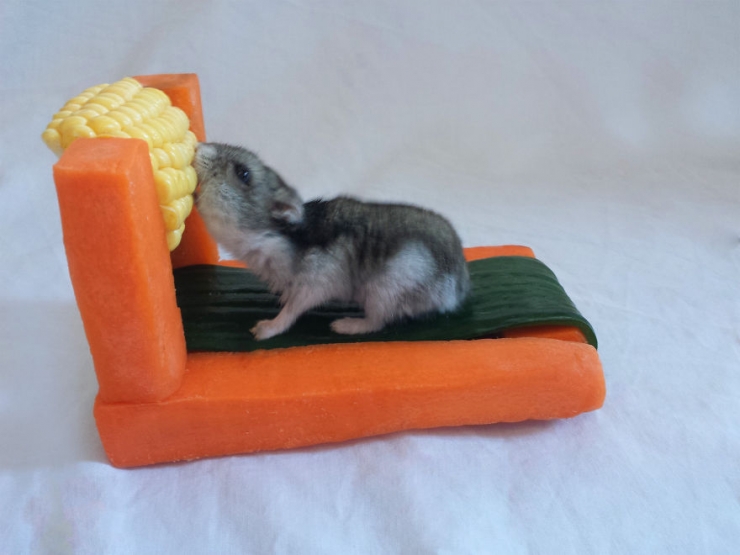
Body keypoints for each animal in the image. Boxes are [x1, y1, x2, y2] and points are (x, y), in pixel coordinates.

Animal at [193, 142, 470, 341]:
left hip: (384, 290)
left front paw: (261, 330)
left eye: (243, 173)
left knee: (377, 322)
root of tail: (459, 287)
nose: (197, 147)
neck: (272, 239)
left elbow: (291, 310)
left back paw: (342, 325)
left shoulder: (314, 284)